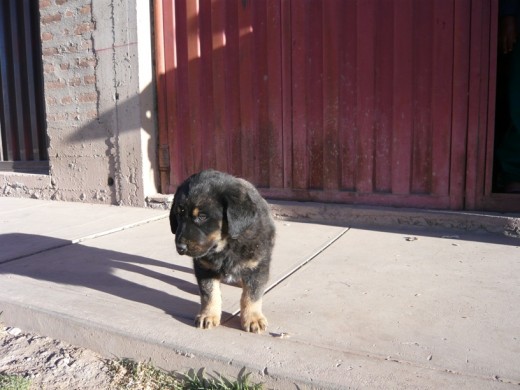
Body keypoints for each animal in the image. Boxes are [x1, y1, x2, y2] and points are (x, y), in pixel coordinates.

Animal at [171, 169, 276, 334]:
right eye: (178, 214)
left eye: (202, 216)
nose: (180, 247)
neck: (226, 246)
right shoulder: (204, 268)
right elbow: (210, 293)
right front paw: (208, 315)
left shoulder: (257, 266)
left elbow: (251, 295)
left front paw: (253, 318)